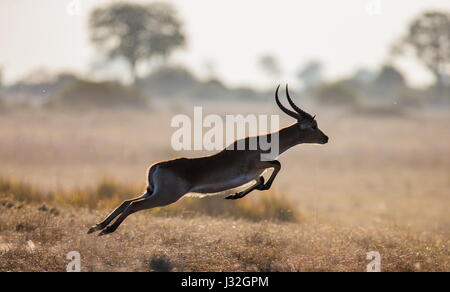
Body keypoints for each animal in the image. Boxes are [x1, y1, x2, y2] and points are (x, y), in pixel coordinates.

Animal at [88, 84, 328, 235]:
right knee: (133, 205)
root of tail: (156, 166)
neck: (264, 143)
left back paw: (96, 227)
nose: (326, 138)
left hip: (151, 191)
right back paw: (107, 230)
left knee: (125, 201)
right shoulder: (257, 165)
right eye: (313, 126)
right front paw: (239, 194)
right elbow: (275, 167)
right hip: (165, 197)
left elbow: (259, 182)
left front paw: (234, 196)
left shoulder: (254, 174)